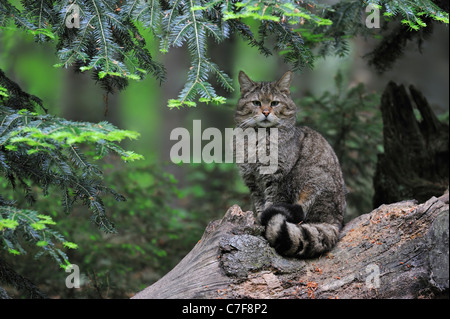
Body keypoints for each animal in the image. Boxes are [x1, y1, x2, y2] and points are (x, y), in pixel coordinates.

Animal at [234, 71, 346, 258]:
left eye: (274, 103)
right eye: (256, 103)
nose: (266, 112)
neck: (258, 139)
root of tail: (335, 220)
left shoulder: (277, 179)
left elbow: (270, 203)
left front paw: (263, 226)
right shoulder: (252, 182)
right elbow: (259, 206)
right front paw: (258, 222)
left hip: (310, 183)